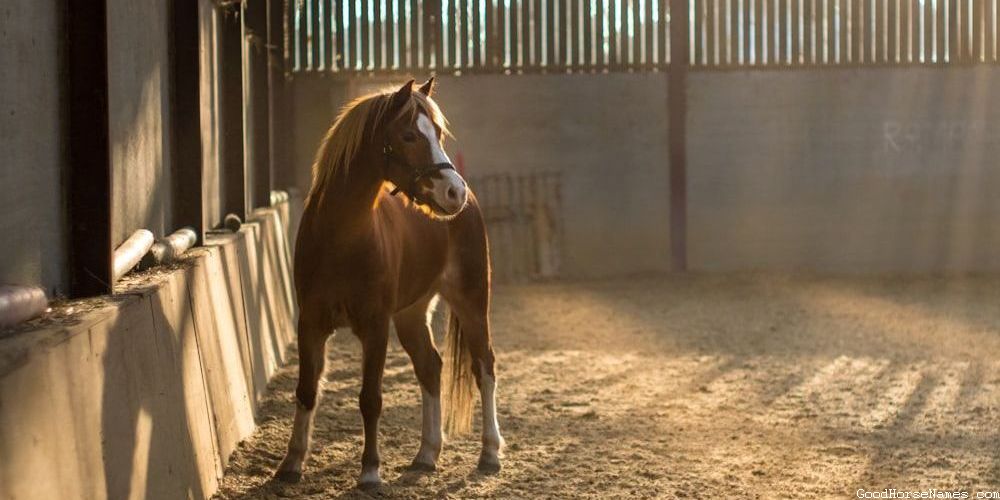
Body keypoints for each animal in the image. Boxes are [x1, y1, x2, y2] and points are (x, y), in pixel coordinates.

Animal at [275, 78, 503, 489]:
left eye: (438, 133)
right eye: (409, 135)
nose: (454, 192)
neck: (341, 237)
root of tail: (472, 203)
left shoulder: (375, 326)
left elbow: (370, 398)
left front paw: (369, 471)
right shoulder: (311, 324)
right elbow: (306, 391)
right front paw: (291, 463)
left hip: (472, 302)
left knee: (484, 366)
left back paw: (490, 453)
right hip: (411, 315)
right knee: (430, 367)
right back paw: (426, 454)